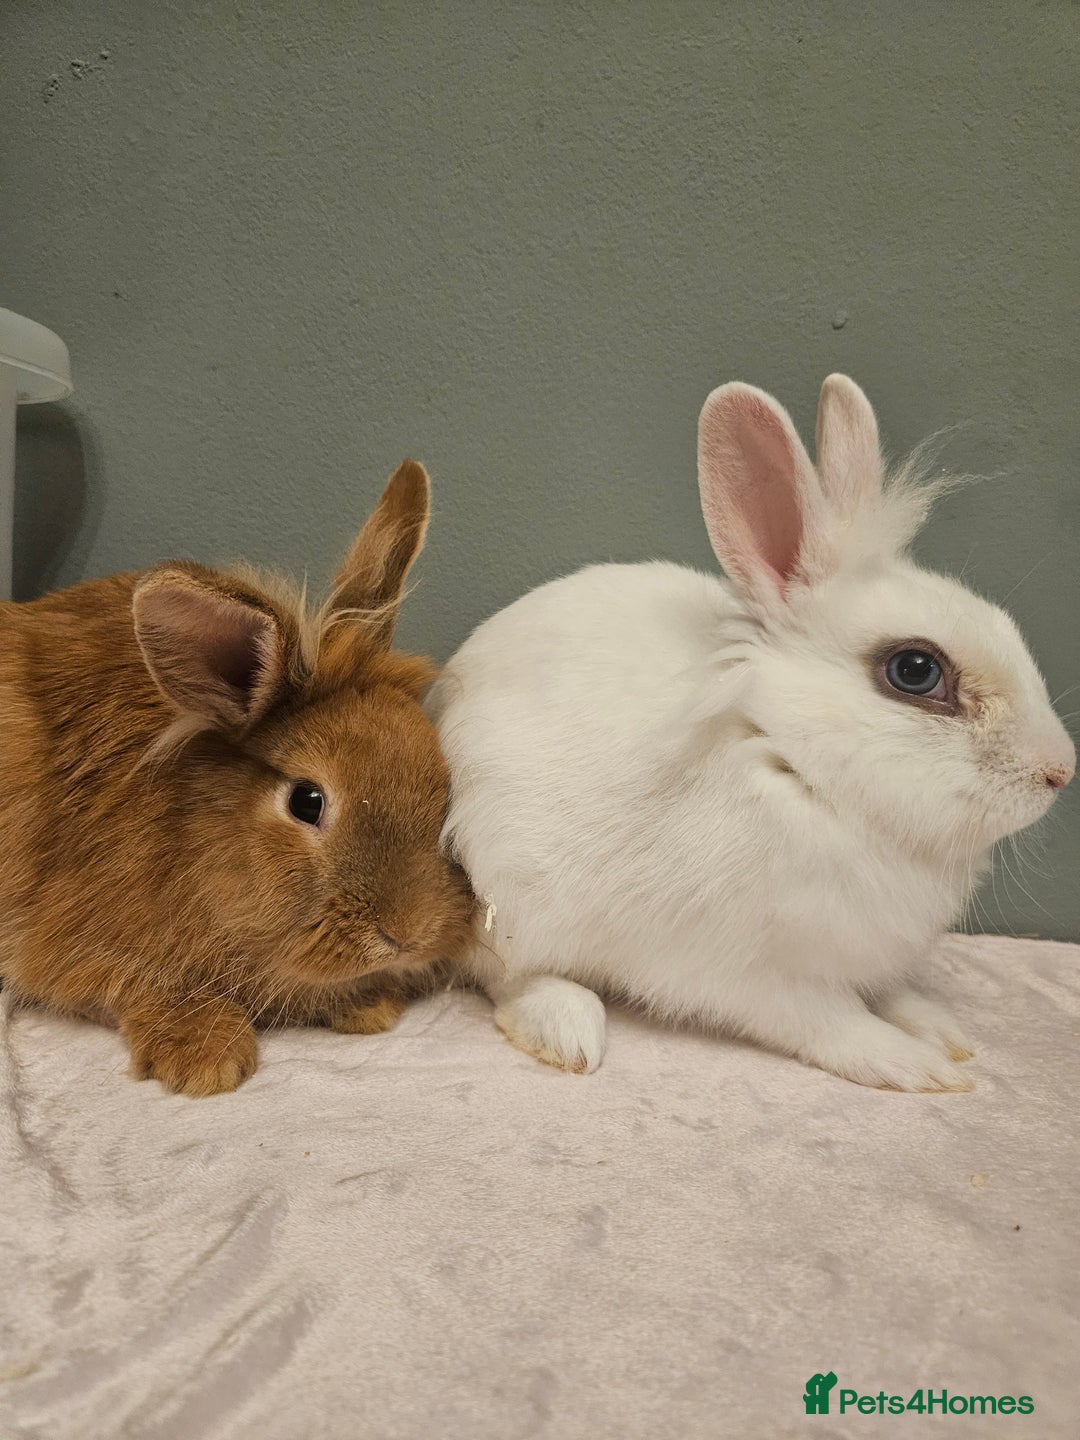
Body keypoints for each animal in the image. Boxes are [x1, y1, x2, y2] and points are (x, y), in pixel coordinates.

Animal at [0, 460, 472, 1096]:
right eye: (307, 801)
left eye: (439, 775)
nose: (408, 935)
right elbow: (139, 986)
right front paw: (206, 1061)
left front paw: (368, 1007)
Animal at [428, 376, 1075, 1092]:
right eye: (915, 671)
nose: (1060, 771)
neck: (792, 762)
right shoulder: (747, 974)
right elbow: (830, 1022)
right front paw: (915, 1066)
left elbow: (889, 994)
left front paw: (943, 1031)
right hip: (505, 897)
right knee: (506, 977)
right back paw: (566, 1027)